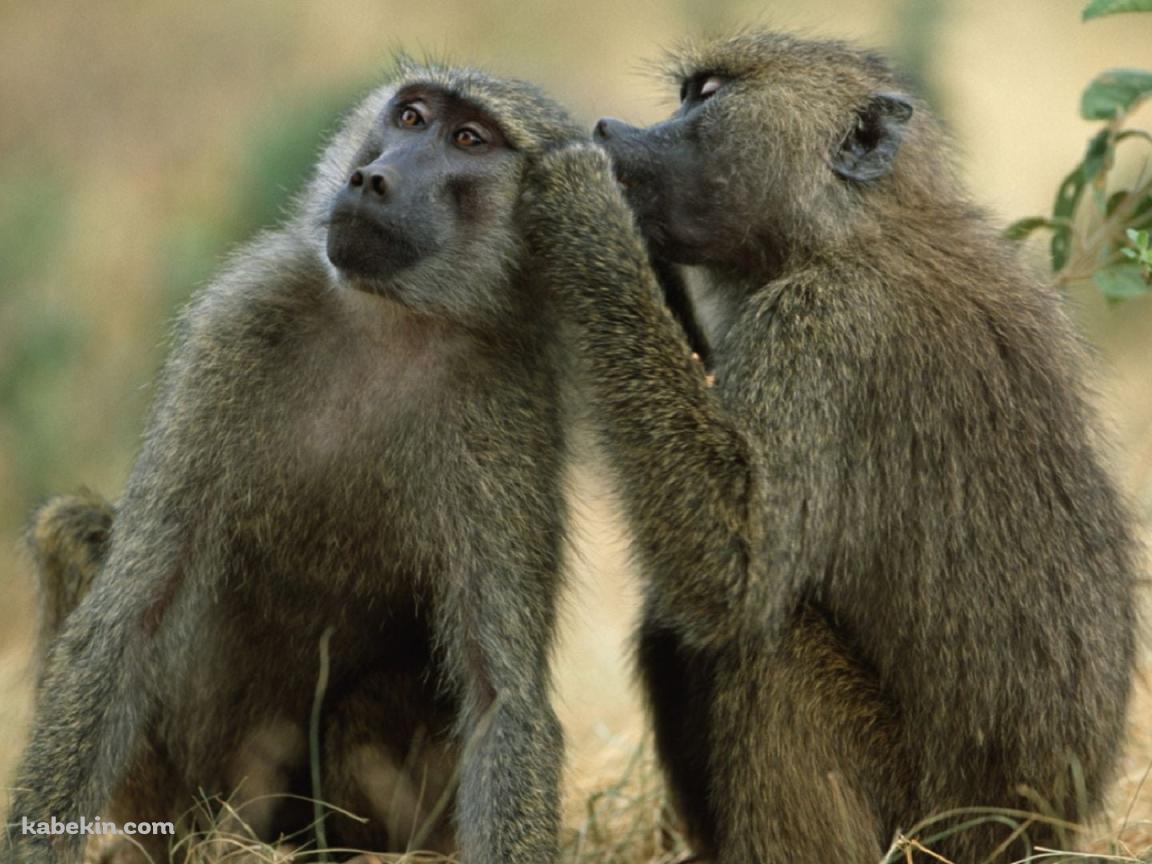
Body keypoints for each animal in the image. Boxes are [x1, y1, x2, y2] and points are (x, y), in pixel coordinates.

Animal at [3, 61, 586, 864]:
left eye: (469, 139)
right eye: (410, 117)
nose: (372, 178)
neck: (389, 323)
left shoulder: (512, 407)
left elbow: (504, 699)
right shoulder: (236, 324)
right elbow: (125, 620)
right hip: (188, 796)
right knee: (68, 528)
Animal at [522, 31, 1141, 863]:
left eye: (706, 96)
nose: (610, 130)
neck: (850, 229)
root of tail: (1035, 834)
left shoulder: (825, 331)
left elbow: (733, 573)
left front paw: (586, 206)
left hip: (918, 822)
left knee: (766, 644)